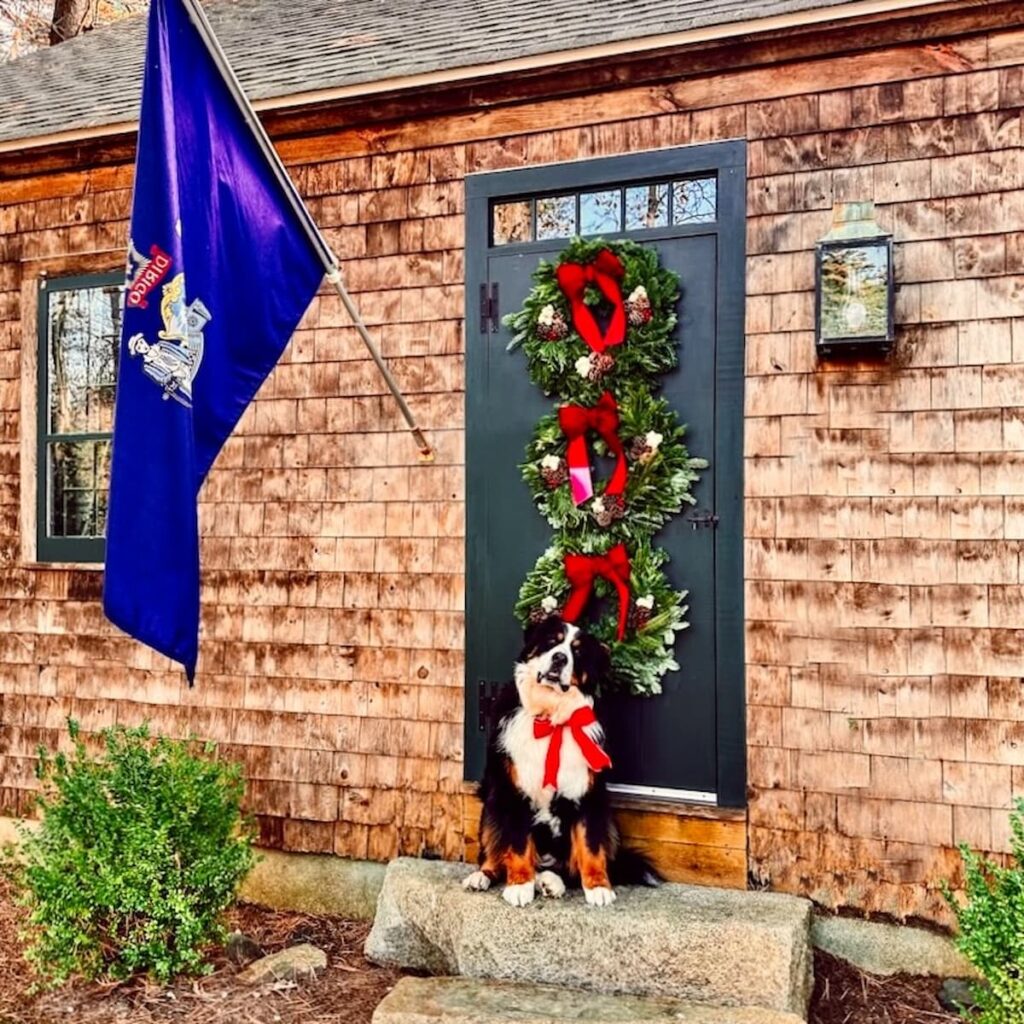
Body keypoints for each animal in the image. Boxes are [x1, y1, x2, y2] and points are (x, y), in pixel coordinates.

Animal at [462, 618, 655, 909]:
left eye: (578, 651)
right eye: (552, 642)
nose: (560, 658)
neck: (551, 718)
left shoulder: (589, 795)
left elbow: (590, 845)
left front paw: (599, 887)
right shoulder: (514, 792)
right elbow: (517, 844)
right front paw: (519, 885)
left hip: (608, 821)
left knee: (568, 869)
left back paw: (551, 882)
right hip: (492, 805)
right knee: (493, 851)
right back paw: (482, 877)